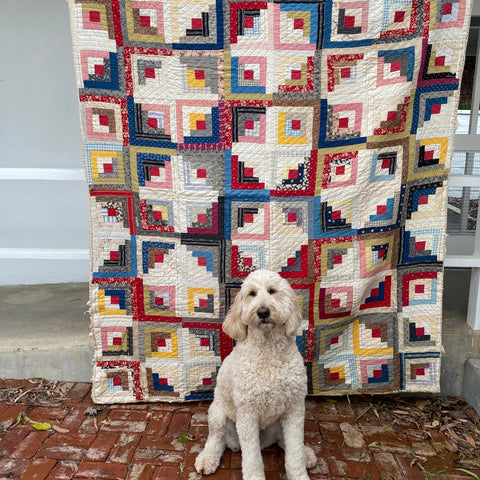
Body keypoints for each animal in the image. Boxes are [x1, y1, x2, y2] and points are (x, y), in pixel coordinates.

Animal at [195, 270, 316, 480]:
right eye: (251, 293)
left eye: (272, 291)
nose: (263, 311)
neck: (268, 350)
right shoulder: (248, 414)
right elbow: (252, 460)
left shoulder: (294, 409)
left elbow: (294, 452)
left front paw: (299, 473)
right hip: (218, 414)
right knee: (216, 440)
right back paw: (207, 458)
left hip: (279, 422)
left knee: (284, 441)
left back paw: (306, 453)